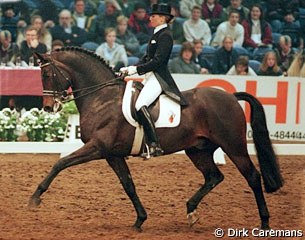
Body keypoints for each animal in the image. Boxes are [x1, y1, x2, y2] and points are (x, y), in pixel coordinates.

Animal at [29, 47, 282, 232]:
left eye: (47, 75)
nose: (49, 108)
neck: (102, 97)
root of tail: (230, 96)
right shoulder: (112, 154)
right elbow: (128, 185)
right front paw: (140, 220)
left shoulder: (98, 147)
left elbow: (60, 163)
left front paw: (34, 198)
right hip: (198, 150)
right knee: (214, 176)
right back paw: (191, 211)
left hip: (233, 146)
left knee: (252, 176)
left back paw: (265, 222)